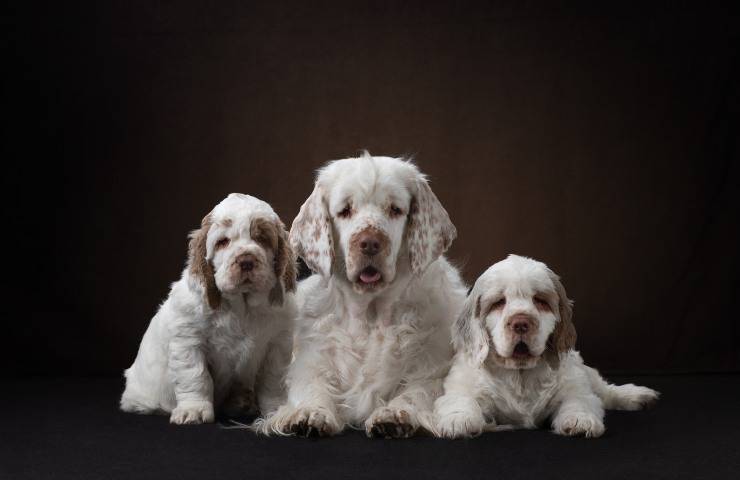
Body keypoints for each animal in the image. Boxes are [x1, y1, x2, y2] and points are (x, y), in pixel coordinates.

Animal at [120, 193, 296, 426]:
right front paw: (193, 410)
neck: (242, 307)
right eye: (222, 242)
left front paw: (276, 410)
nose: (246, 261)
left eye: (262, 239)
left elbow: (272, 381)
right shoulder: (189, 342)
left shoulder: (278, 343)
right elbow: (196, 377)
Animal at [258, 152, 466, 436]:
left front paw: (394, 416)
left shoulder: (431, 367)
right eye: (345, 210)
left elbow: (416, 392)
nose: (369, 243)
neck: (370, 315)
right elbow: (312, 386)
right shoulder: (310, 361)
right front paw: (310, 413)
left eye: (395, 209)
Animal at [434, 255, 660, 438]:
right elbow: (461, 399)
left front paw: (579, 420)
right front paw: (459, 421)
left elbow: (580, 400)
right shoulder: (461, 384)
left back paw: (638, 395)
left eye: (540, 301)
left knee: (604, 389)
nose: (521, 323)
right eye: (498, 302)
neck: (521, 374)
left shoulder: (574, 384)